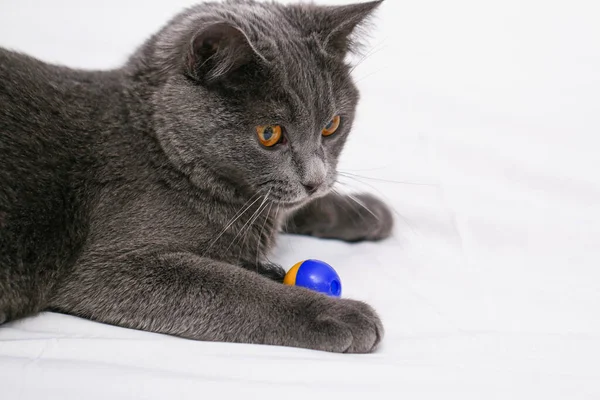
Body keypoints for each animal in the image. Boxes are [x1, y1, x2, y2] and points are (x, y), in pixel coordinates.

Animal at [0, 0, 394, 352]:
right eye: (269, 134)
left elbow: (291, 207)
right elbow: (239, 290)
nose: (314, 181)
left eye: (332, 126)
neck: (156, 149)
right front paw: (343, 315)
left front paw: (371, 212)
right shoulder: (110, 267)